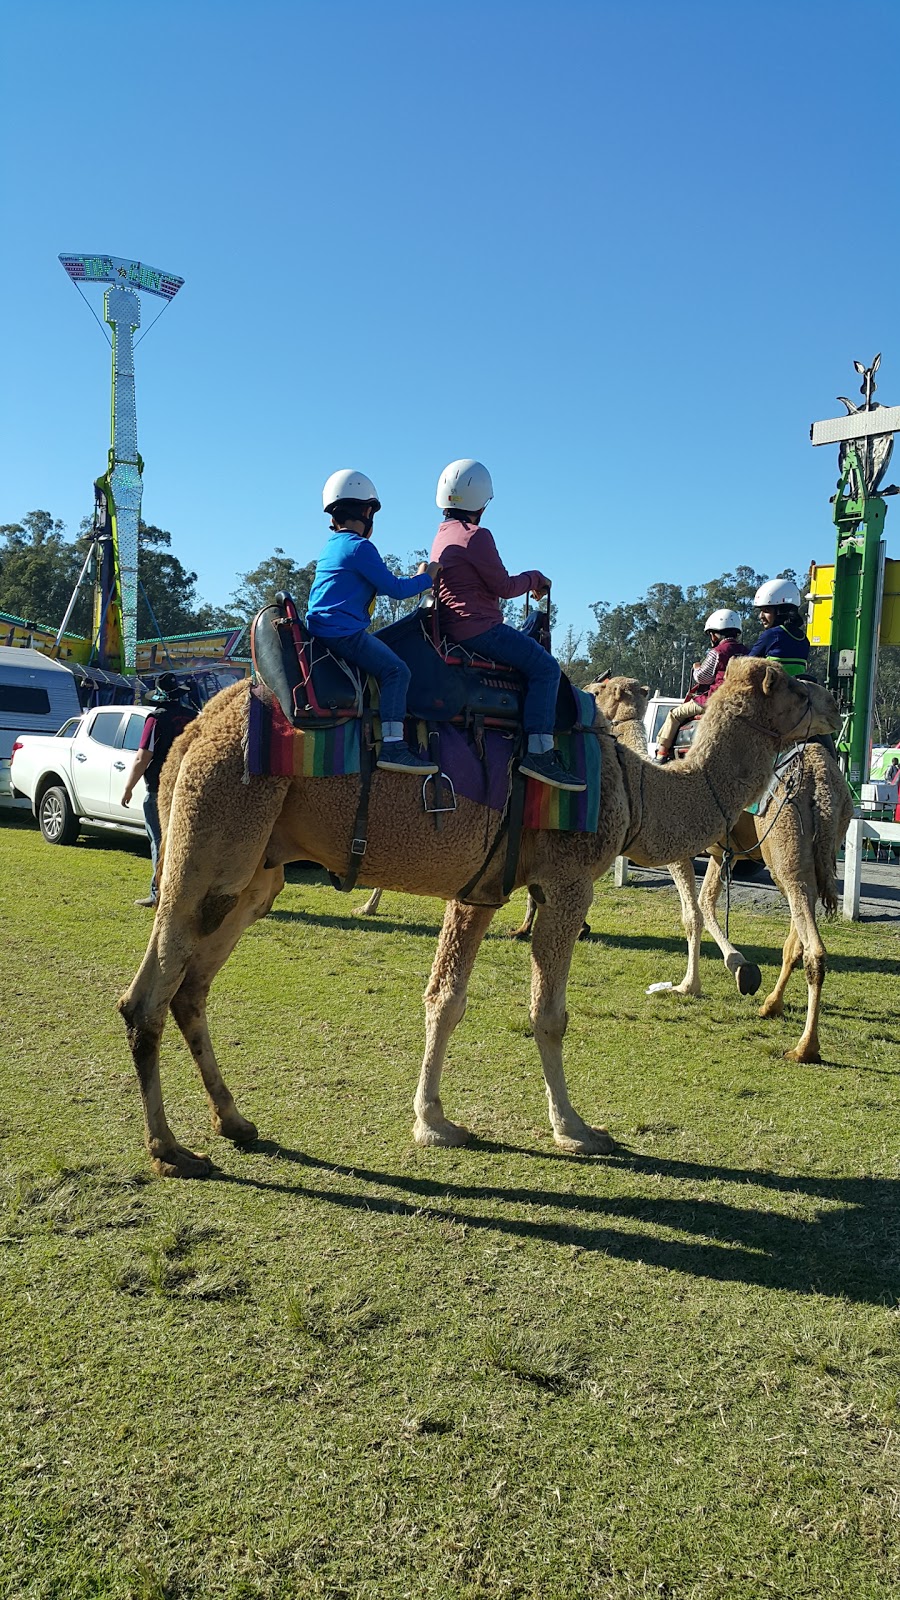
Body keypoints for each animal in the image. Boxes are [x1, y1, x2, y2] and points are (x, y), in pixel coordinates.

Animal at [586, 672, 851, 1062]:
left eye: (598, 690)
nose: (585, 692)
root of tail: (822, 780)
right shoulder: (720, 853)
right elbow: (708, 903)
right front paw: (742, 970)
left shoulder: (679, 851)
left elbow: (691, 914)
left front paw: (688, 986)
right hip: (808, 858)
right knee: (797, 938)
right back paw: (771, 1006)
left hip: (784, 845)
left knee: (813, 947)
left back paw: (805, 1047)